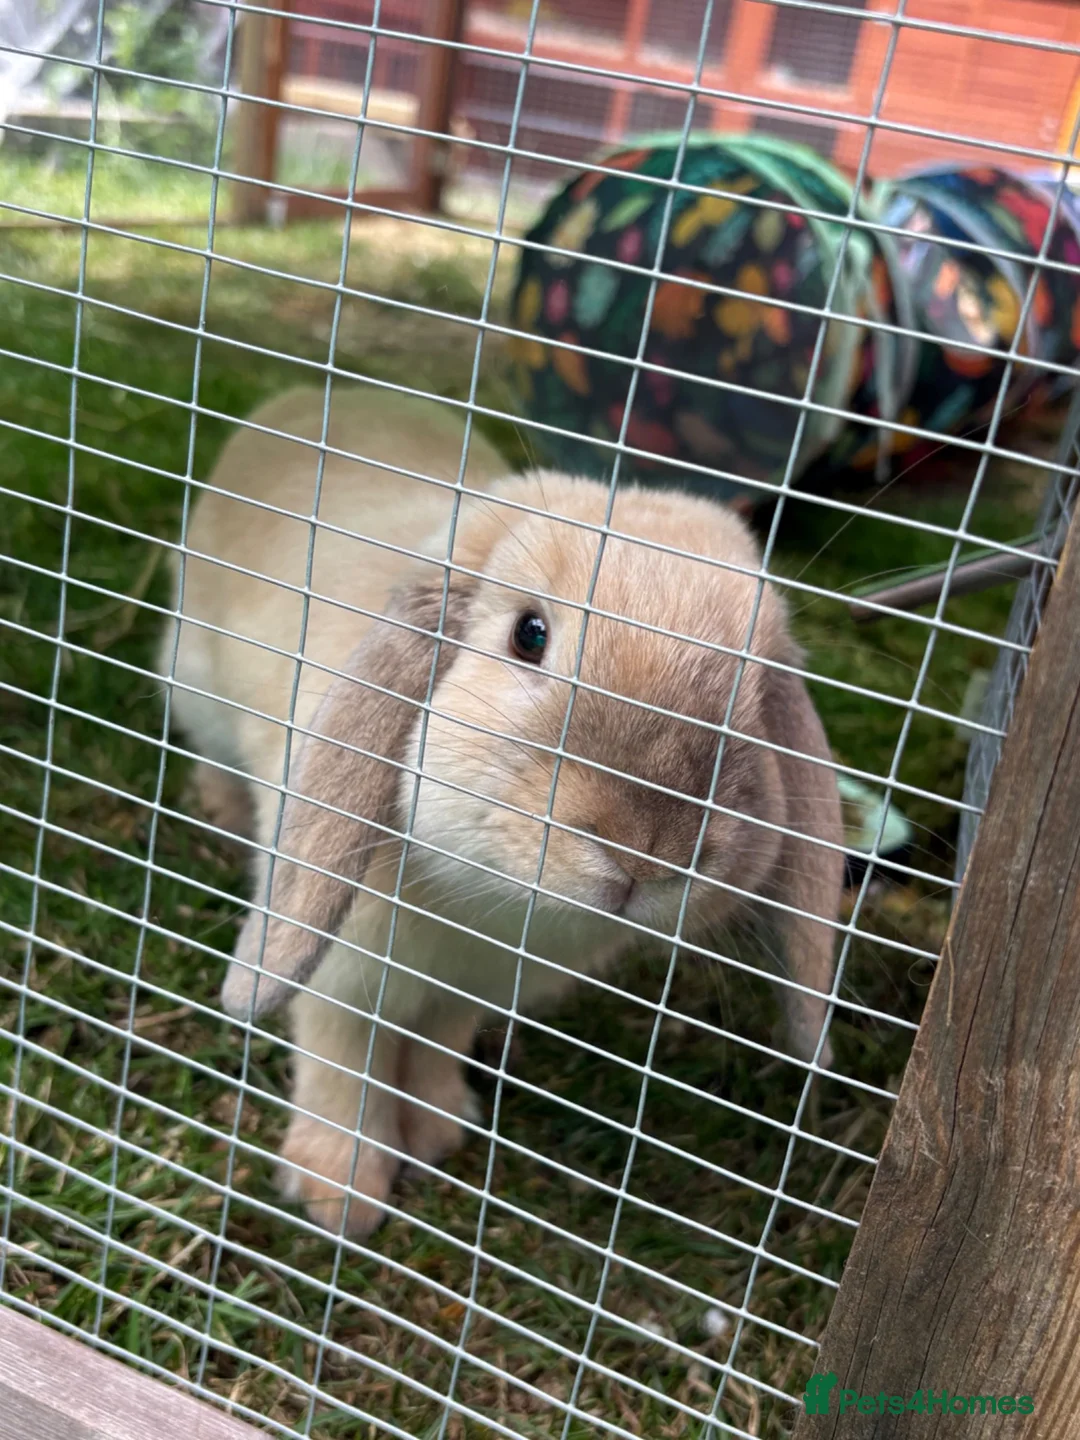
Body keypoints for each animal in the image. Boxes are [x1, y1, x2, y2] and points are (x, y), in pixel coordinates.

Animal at [162, 382, 844, 1239]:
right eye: (530, 635)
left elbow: (435, 1047)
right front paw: (337, 1195)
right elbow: (341, 1066)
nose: (645, 849)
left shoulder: (465, 995)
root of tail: (310, 393)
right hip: (192, 680)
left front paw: (438, 1131)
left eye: (753, 699)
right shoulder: (340, 981)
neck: (496, 907)